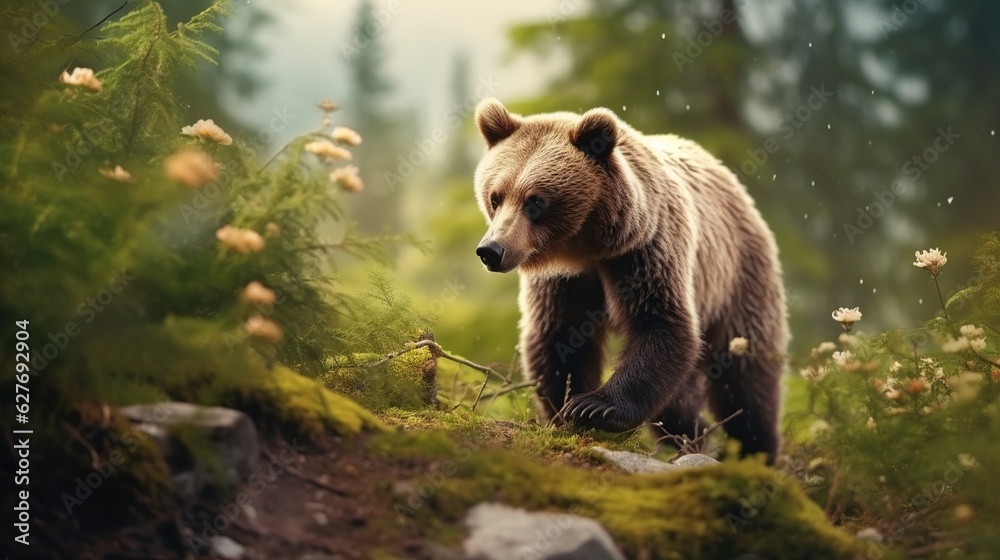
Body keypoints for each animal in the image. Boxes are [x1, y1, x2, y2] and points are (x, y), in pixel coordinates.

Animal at [471, 98, 788, 463]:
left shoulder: (645, 247)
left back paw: (754, 450)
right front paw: (565, 409)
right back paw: (690, 436)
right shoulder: (564, 282)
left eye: (535, 201)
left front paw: (594, 407)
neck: (585, 247)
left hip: (738, 275)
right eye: (495, 197)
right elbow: (559, 337)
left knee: (747, 375)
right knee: (683, 397)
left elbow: (661, 324)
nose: (491, 250)